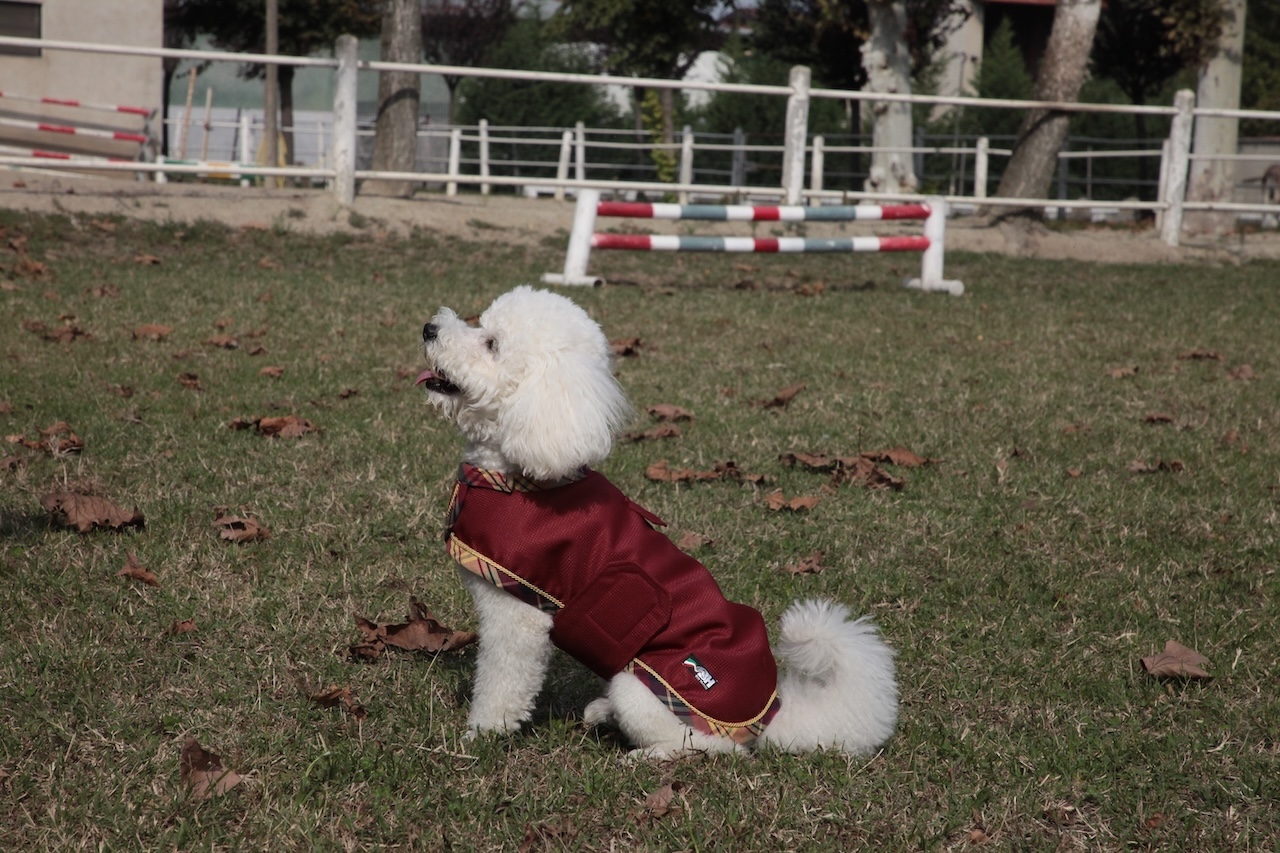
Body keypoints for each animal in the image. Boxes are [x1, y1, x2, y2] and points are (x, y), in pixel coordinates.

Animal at [419, 286, 898, 758]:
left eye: (491, 344)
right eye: (480, 325)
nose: (428, 328)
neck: (515, 478)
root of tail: (772, 719)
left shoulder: (517, 617)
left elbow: (501, 684)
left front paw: (481, 735)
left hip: (645, 687)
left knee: (710, 746)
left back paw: (642, 752)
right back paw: (601, 712)